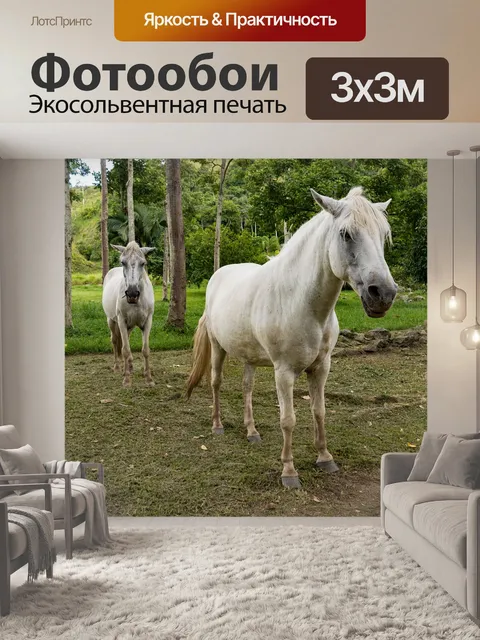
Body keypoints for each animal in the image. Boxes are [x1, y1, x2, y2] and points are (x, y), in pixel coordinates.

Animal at [102, 241, 156, 387]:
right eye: (123, 262)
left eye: (143, 263)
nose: (132, 294)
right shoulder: (121, 321)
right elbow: (125, 350)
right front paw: (126, 380)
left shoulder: (147, 322)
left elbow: (145, 350)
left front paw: (149, 379)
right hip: (111, 321)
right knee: (115, 341)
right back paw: (117, 367)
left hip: (129, 326)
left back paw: (130, 367)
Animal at [186, 186, 397, 488]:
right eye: (346, 234)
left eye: (383, 234)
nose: (383, 294)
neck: (300, 302)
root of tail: (218, 275)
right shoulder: (283, 372)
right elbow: (288, 419)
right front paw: (289, 472)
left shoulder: (321, 368)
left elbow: (319, 411)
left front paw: (325, 458)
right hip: (218, 348)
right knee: (216, 383)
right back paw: (217, 426)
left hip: (249, 357)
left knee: (246, 387)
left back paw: (251, 431)